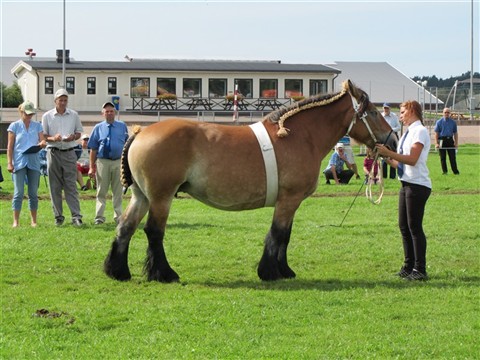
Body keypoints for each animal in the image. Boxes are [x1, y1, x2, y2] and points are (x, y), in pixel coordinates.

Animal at [105, 80, 398, 282]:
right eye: (373, 113)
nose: (393, 141)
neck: (300, 136)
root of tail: (140, 132)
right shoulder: (288, 199)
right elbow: (278, 233)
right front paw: (270, 271)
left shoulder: (289, 202)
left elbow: (285, 235)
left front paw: (284, 270)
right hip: (161, 197)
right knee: (153, 231)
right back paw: (165, 273)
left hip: (142, 196)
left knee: (125, 227)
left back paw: (118, 271)